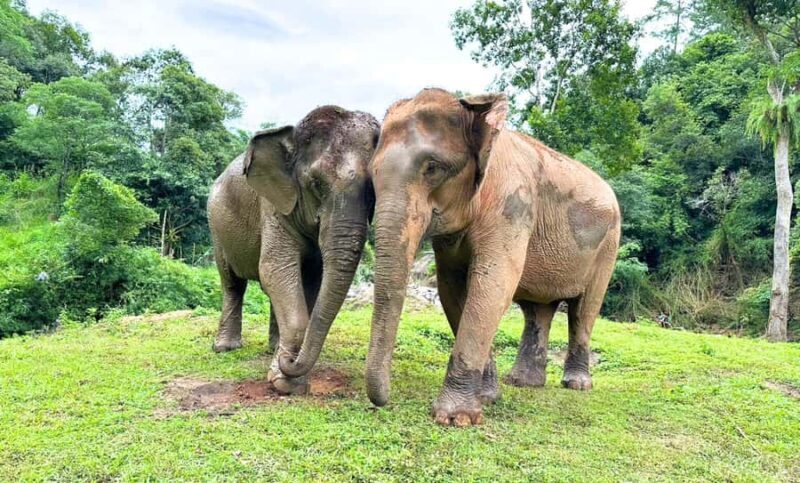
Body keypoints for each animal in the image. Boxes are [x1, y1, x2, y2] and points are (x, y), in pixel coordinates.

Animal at [207, 105, 379, 395]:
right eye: (316, 184)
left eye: (374, 194)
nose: (290, 361)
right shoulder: (273, 206)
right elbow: (274, 269)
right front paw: (285, 382)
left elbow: (311, 279)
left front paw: (285, 370)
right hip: (215, 225)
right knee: (232, 283)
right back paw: (225, 348)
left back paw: (272, 348)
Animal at [364, 88, 621, 426]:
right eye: (371, 174)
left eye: (432, 168)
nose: (383, 402)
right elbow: (452, 289)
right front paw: (487, 398)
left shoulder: (512, 206)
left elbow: (493, 284)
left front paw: (455, 419)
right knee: (538, 311)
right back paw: (523, 382)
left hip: (609, 246)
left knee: (584, 309)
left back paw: (576, 385)